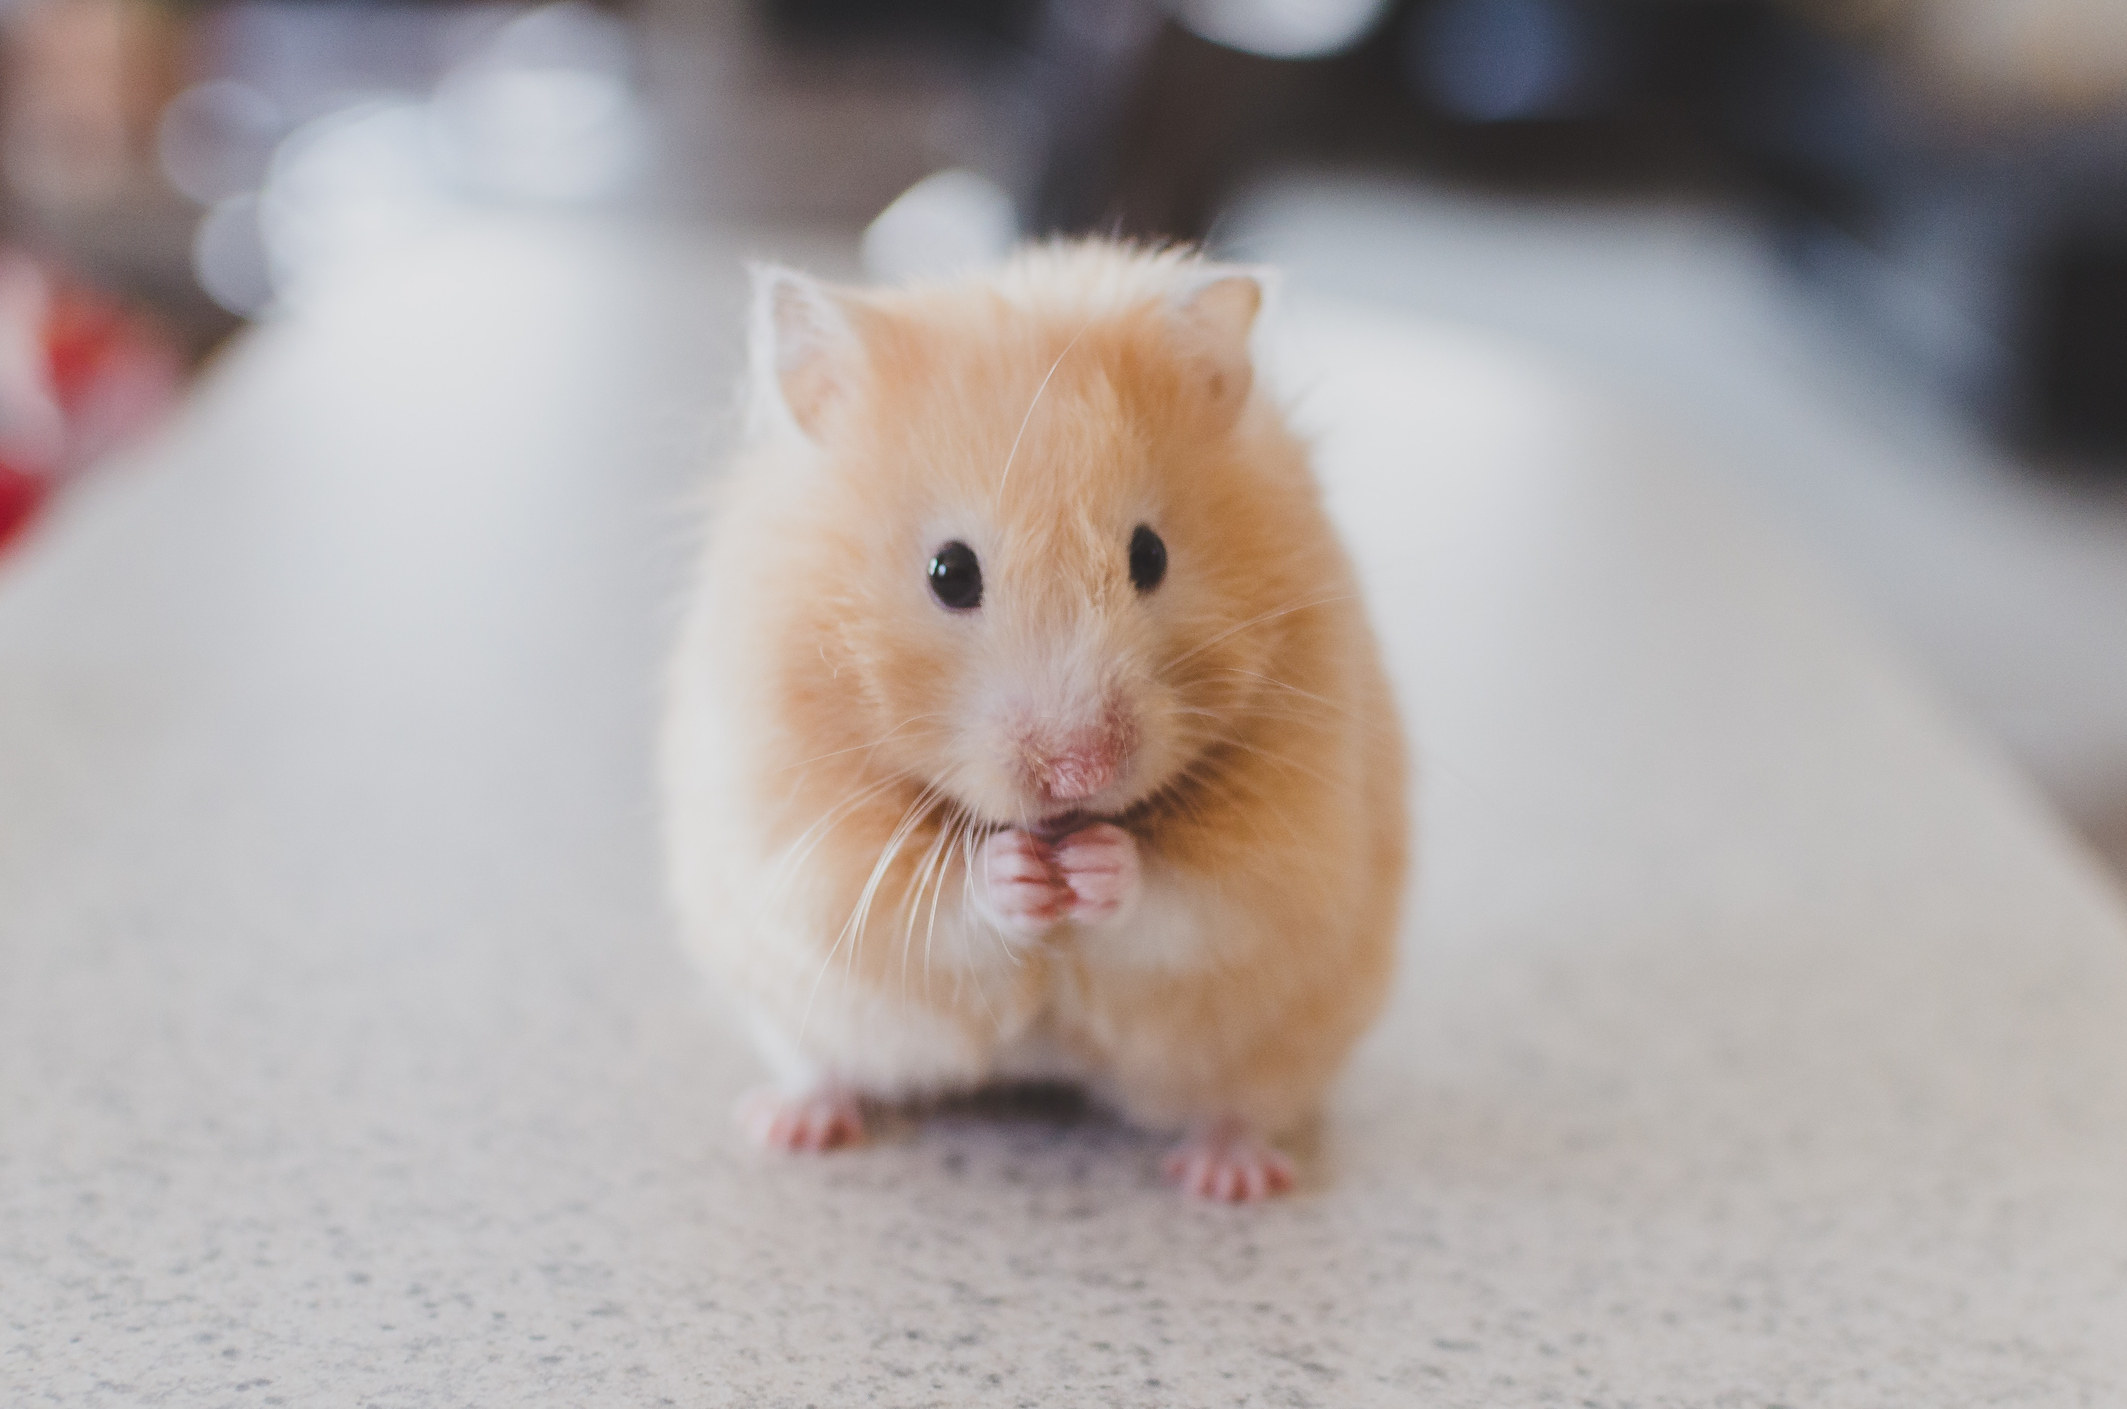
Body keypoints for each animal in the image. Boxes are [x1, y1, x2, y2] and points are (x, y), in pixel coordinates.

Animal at [661, 240, 1408, 1201]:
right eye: (949, 572)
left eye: (1149, 555)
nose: (1080, 772)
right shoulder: (801, 839)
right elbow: (929, 901)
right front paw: (1017, 872)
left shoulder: (1291, 845)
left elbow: (1191, 899)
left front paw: (1095, 866)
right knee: (822, 1064)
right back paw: (789, 1124)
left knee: (1240, 1103)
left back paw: (1229, 1176)